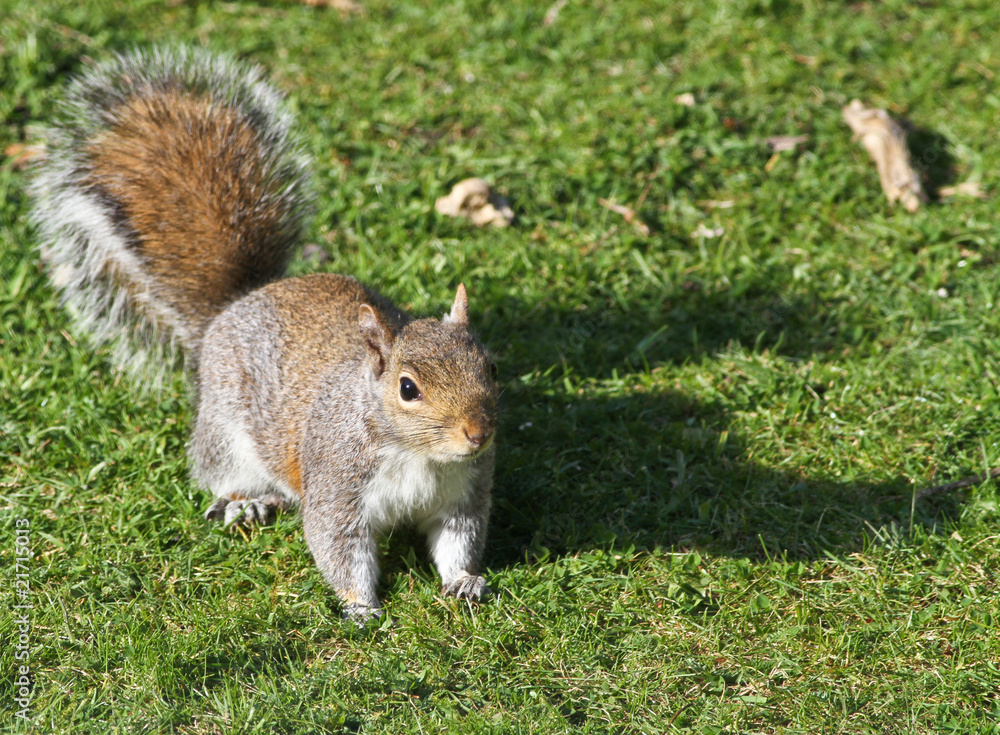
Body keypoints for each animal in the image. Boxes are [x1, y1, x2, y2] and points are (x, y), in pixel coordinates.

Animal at [29, 46, 499, 622]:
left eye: (490, 367)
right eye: (408, 388)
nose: (478, 434)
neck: (419, 456)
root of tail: (235, 304)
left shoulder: (463, 492)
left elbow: (459, 539)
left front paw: (464, 582)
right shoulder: (337, 484)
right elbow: (338, 546)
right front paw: (361, 607)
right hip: (226, 430)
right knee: (221, 471)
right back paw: (248, 501)